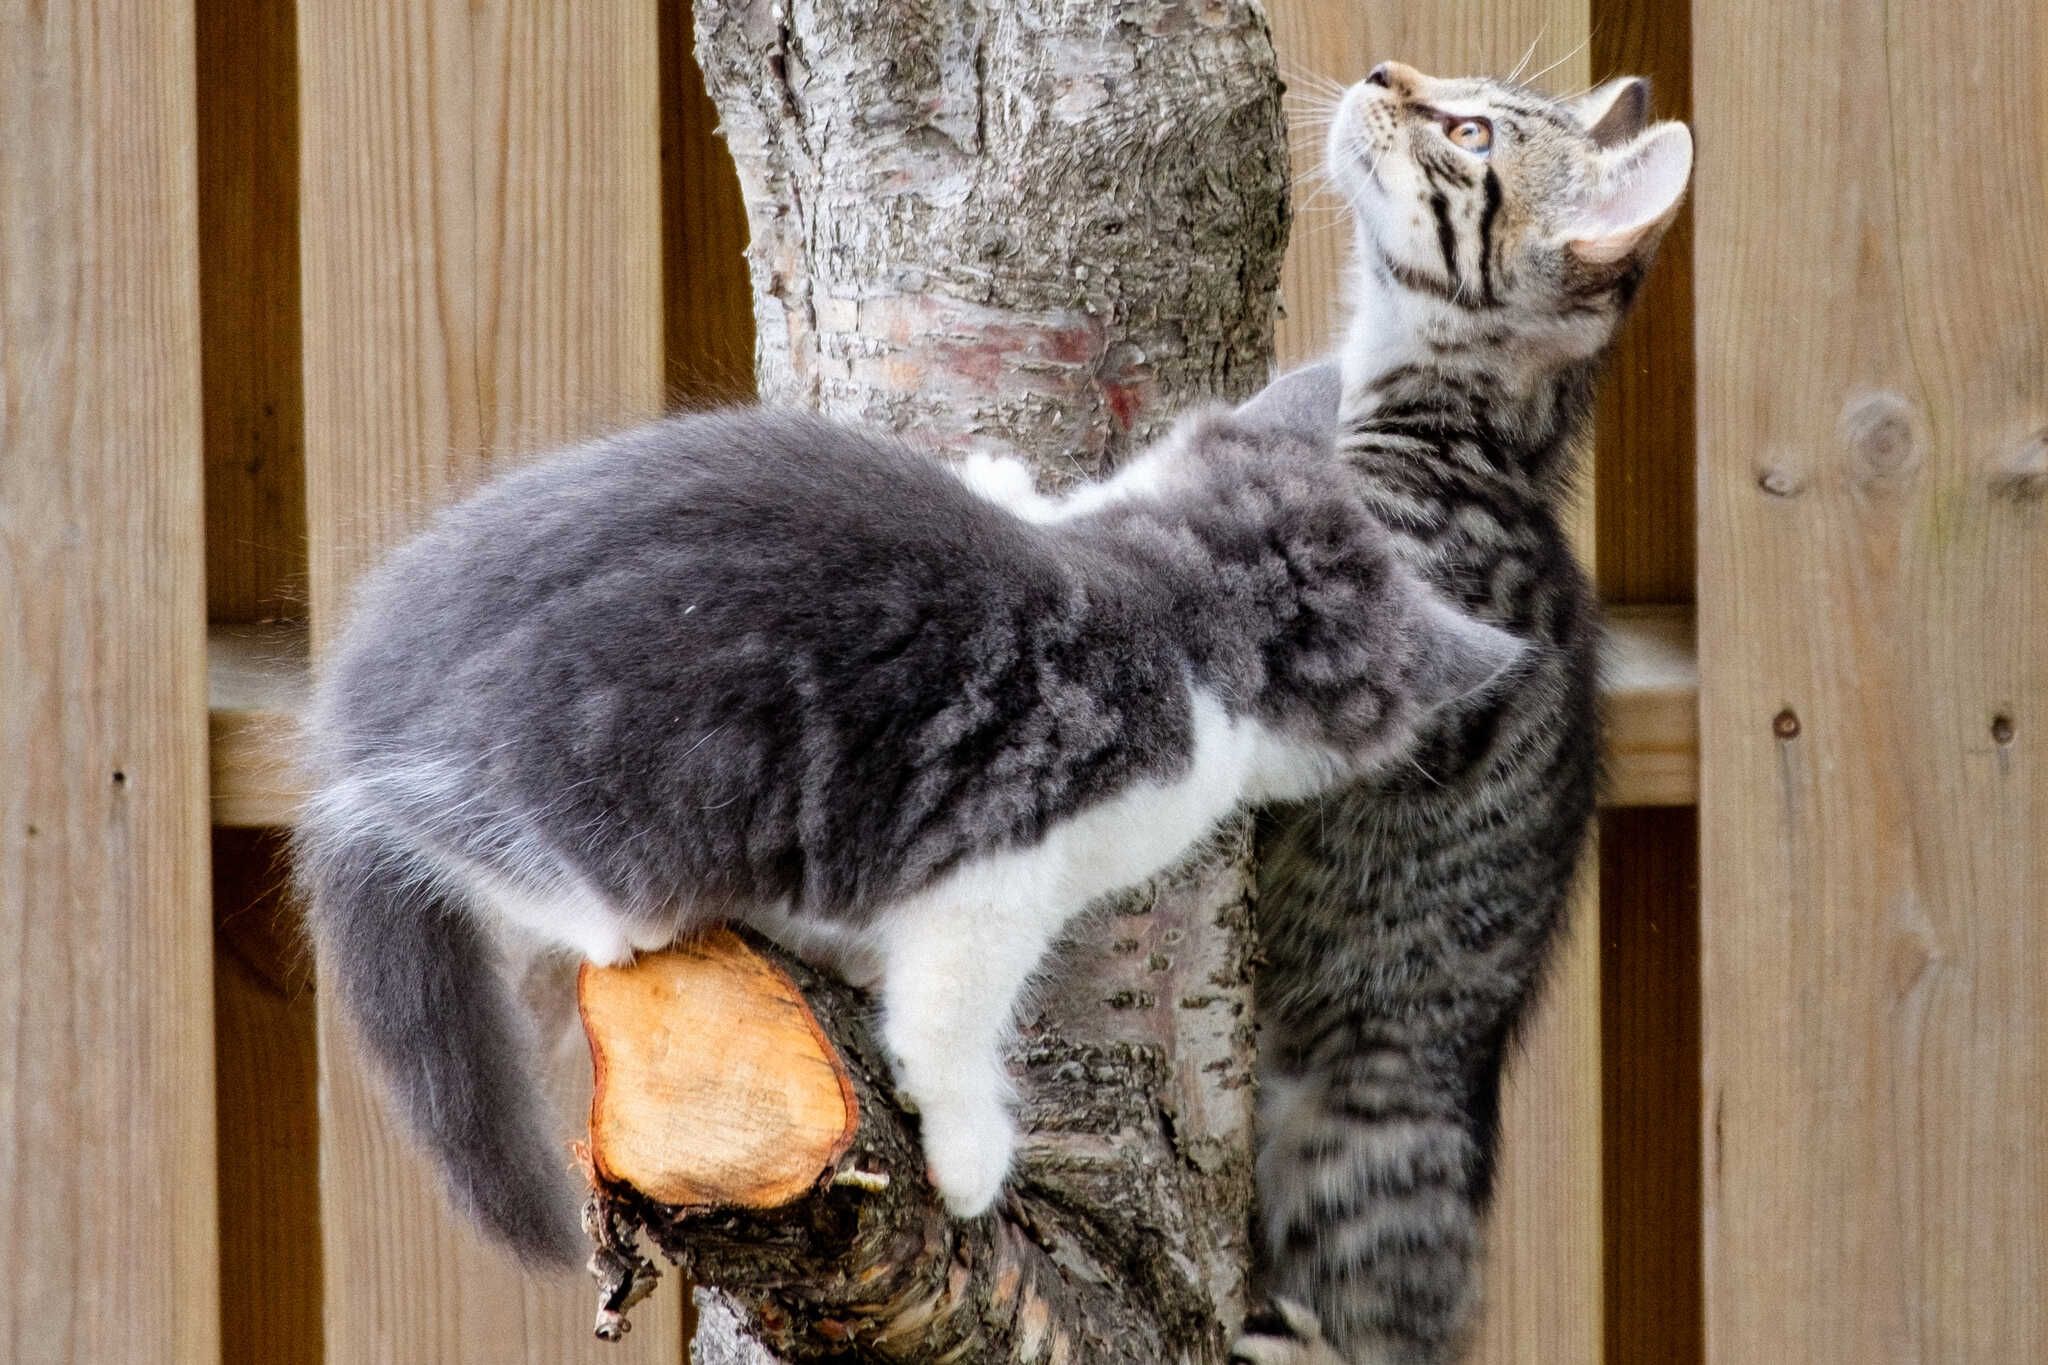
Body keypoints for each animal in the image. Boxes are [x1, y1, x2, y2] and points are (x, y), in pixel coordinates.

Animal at [299, 401, 1523, 1268]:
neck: (1175, 607)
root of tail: (359, 730)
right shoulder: (997, 876)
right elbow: (946, 1019)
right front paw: (972, 1149)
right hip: (592, 802)